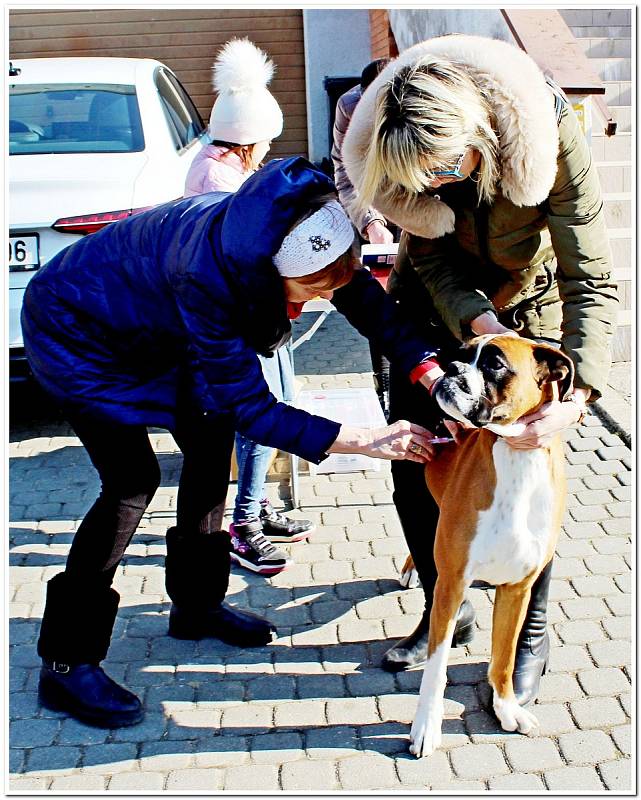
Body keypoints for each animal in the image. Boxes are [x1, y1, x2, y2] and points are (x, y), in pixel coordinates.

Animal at [404, 332, 568, 756]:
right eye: (460, 354)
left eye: (494, 364)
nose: (449, 367)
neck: (515, 458)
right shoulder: (451, 583)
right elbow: (436, 668)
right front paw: (426, 726)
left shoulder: (518, 589)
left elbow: (504, 657)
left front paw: (507, 708)